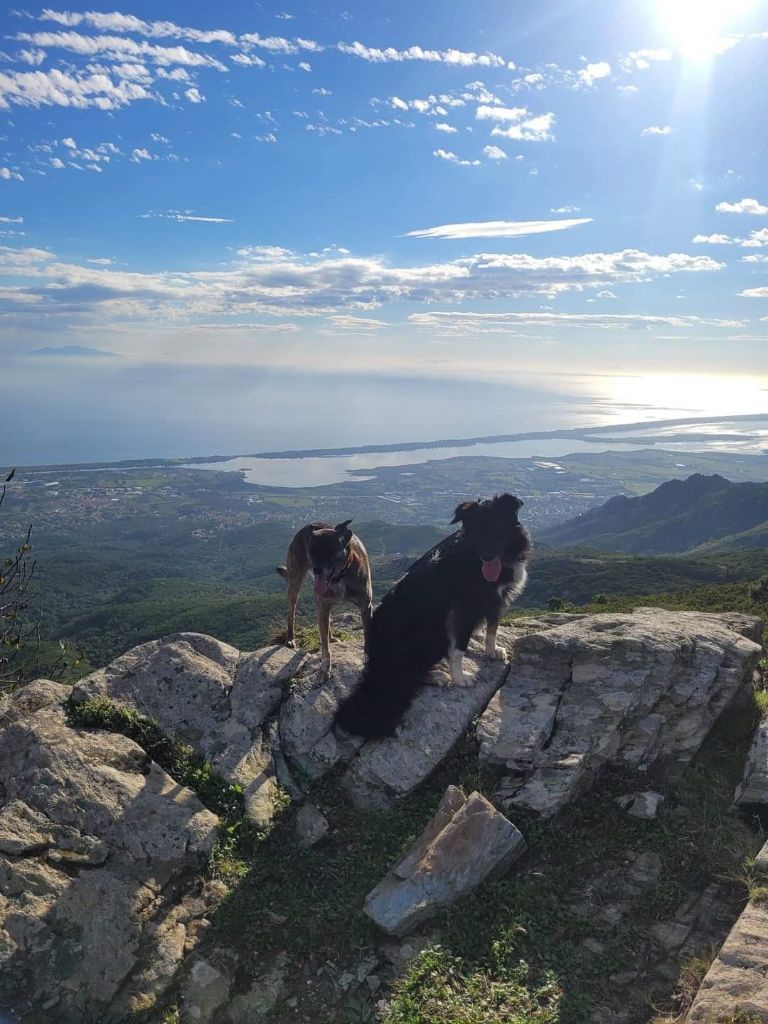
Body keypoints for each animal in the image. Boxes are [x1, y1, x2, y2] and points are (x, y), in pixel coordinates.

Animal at [276, 520, 372, 679]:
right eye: (311, 551)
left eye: (330, 550)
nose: (316, 569)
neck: (340, 577)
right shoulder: (324, 604)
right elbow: (324, 647)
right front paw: (325, 668)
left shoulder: (366, 607)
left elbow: (367, 637)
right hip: (295, 585)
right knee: (292, 613)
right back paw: (290, 638)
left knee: (325, 624)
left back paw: (331, 636)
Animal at [333, 493, 532, 741]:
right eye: (476, 530)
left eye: (497, 527)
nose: (487, 556)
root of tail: (377, 672)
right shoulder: (463, 611)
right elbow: (458, 649)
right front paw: (460, 678)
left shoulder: (495, 600)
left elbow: (492, 629)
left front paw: (492, 651)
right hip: (429, 633)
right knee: (408, 675)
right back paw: (436, 675)